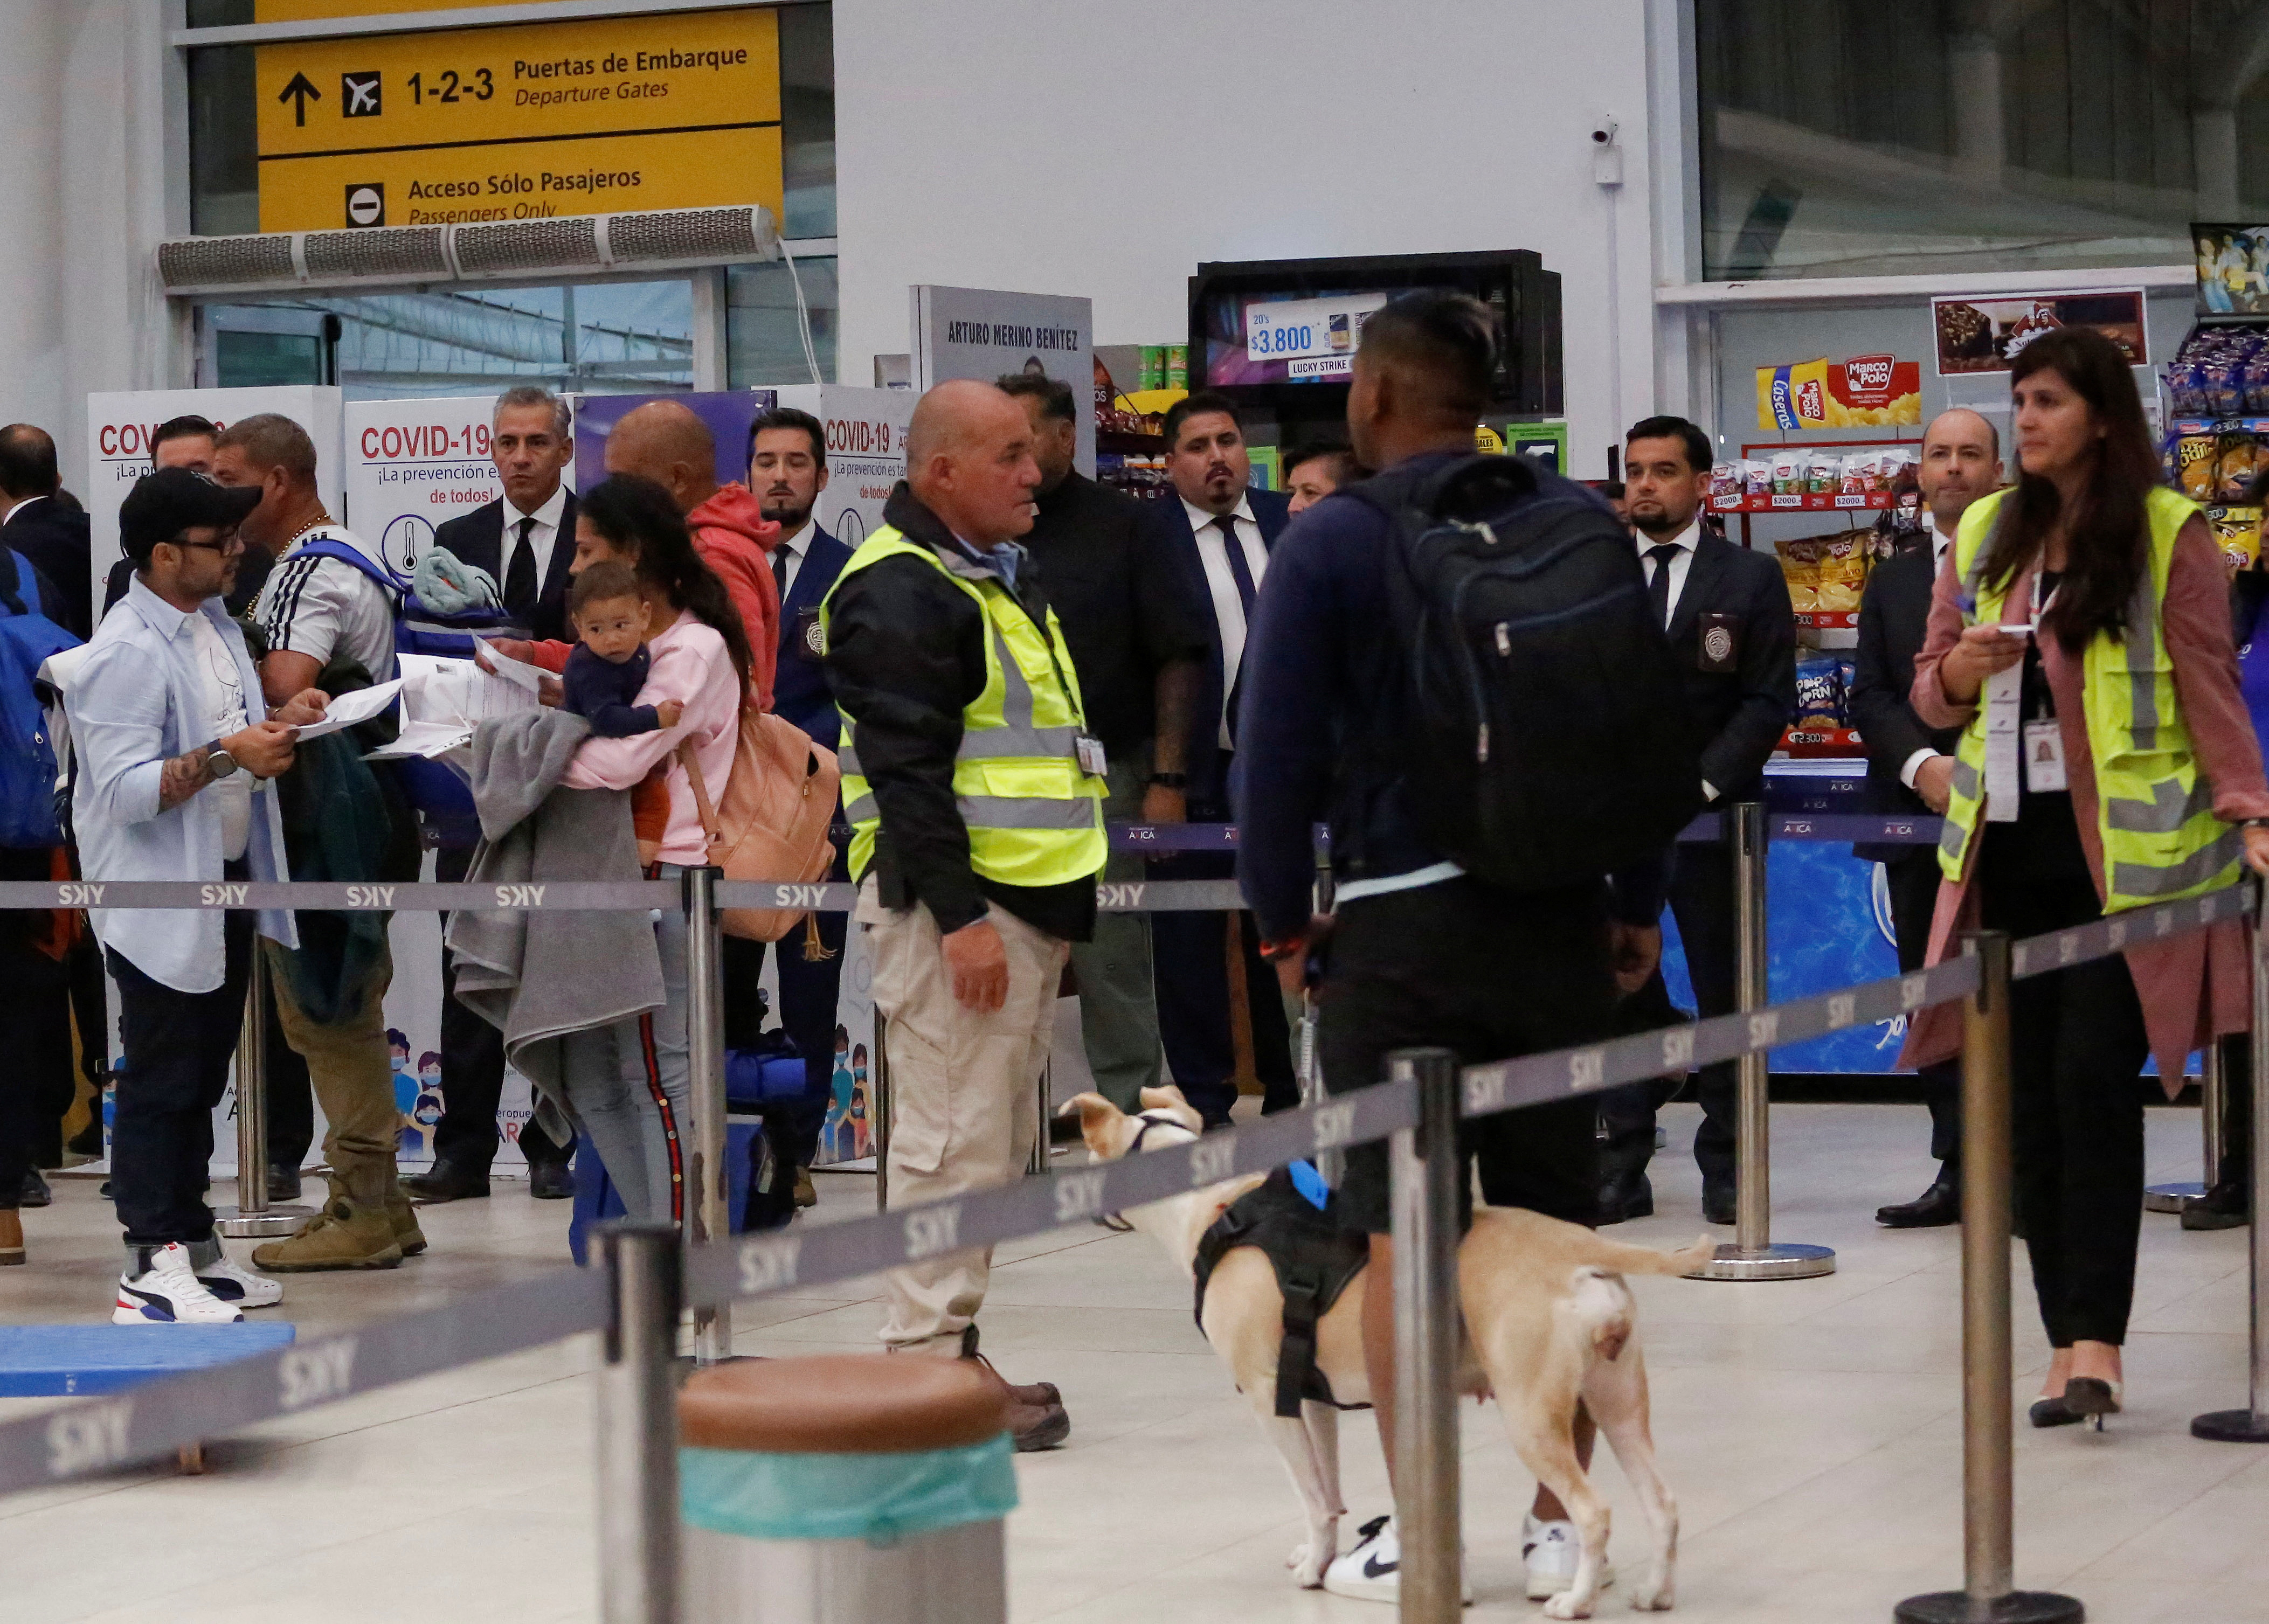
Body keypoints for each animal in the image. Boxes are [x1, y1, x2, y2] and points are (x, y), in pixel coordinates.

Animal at [1071, 1084, 1706, 1615]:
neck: (1213, 1208)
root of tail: (1577, 1250)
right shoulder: (1309, 1395)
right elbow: (1328, 1489)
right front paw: (1318, 1553)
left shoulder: (1266, 1394)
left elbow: (1310, 1494)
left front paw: (1313, 1568)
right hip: (1617, 1401)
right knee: (1664, 1504)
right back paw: (1656, 1591)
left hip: (1530, 1413)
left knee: (1594, 1512)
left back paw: (1573, 1600)